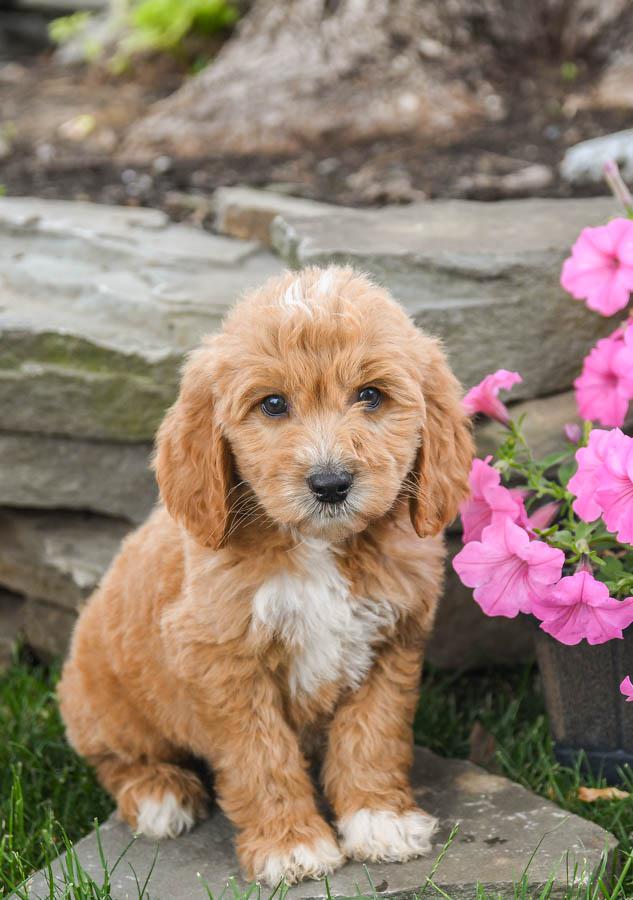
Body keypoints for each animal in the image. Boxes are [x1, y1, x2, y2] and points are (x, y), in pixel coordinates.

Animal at [59, 264, 472, 884]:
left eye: (371, 396)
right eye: (273, 404)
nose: (330, 483)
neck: (318, 546)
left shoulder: (392, 639)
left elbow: (373, 734)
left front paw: (379, 820)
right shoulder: (222, 660)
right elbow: (261, 755)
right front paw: (292, 844)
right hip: (103, 699)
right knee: (117, 758)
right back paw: (160, 794)